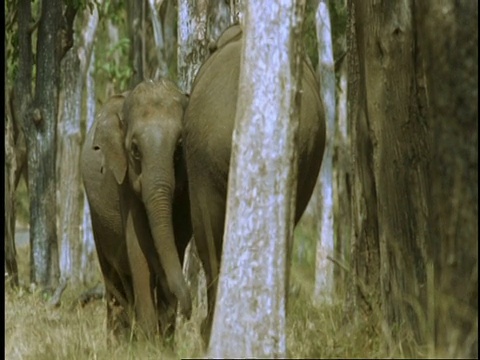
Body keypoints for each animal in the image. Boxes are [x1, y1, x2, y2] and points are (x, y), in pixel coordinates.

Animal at [79, 79, 192, 340]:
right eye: (135, 150)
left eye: (179, 148)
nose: (189, 312)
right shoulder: (123, 181)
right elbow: (137, 246)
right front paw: (149, 342)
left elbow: (176, 243)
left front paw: (164, 341)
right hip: (97, 222)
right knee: (113, 277)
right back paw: (119, 341)